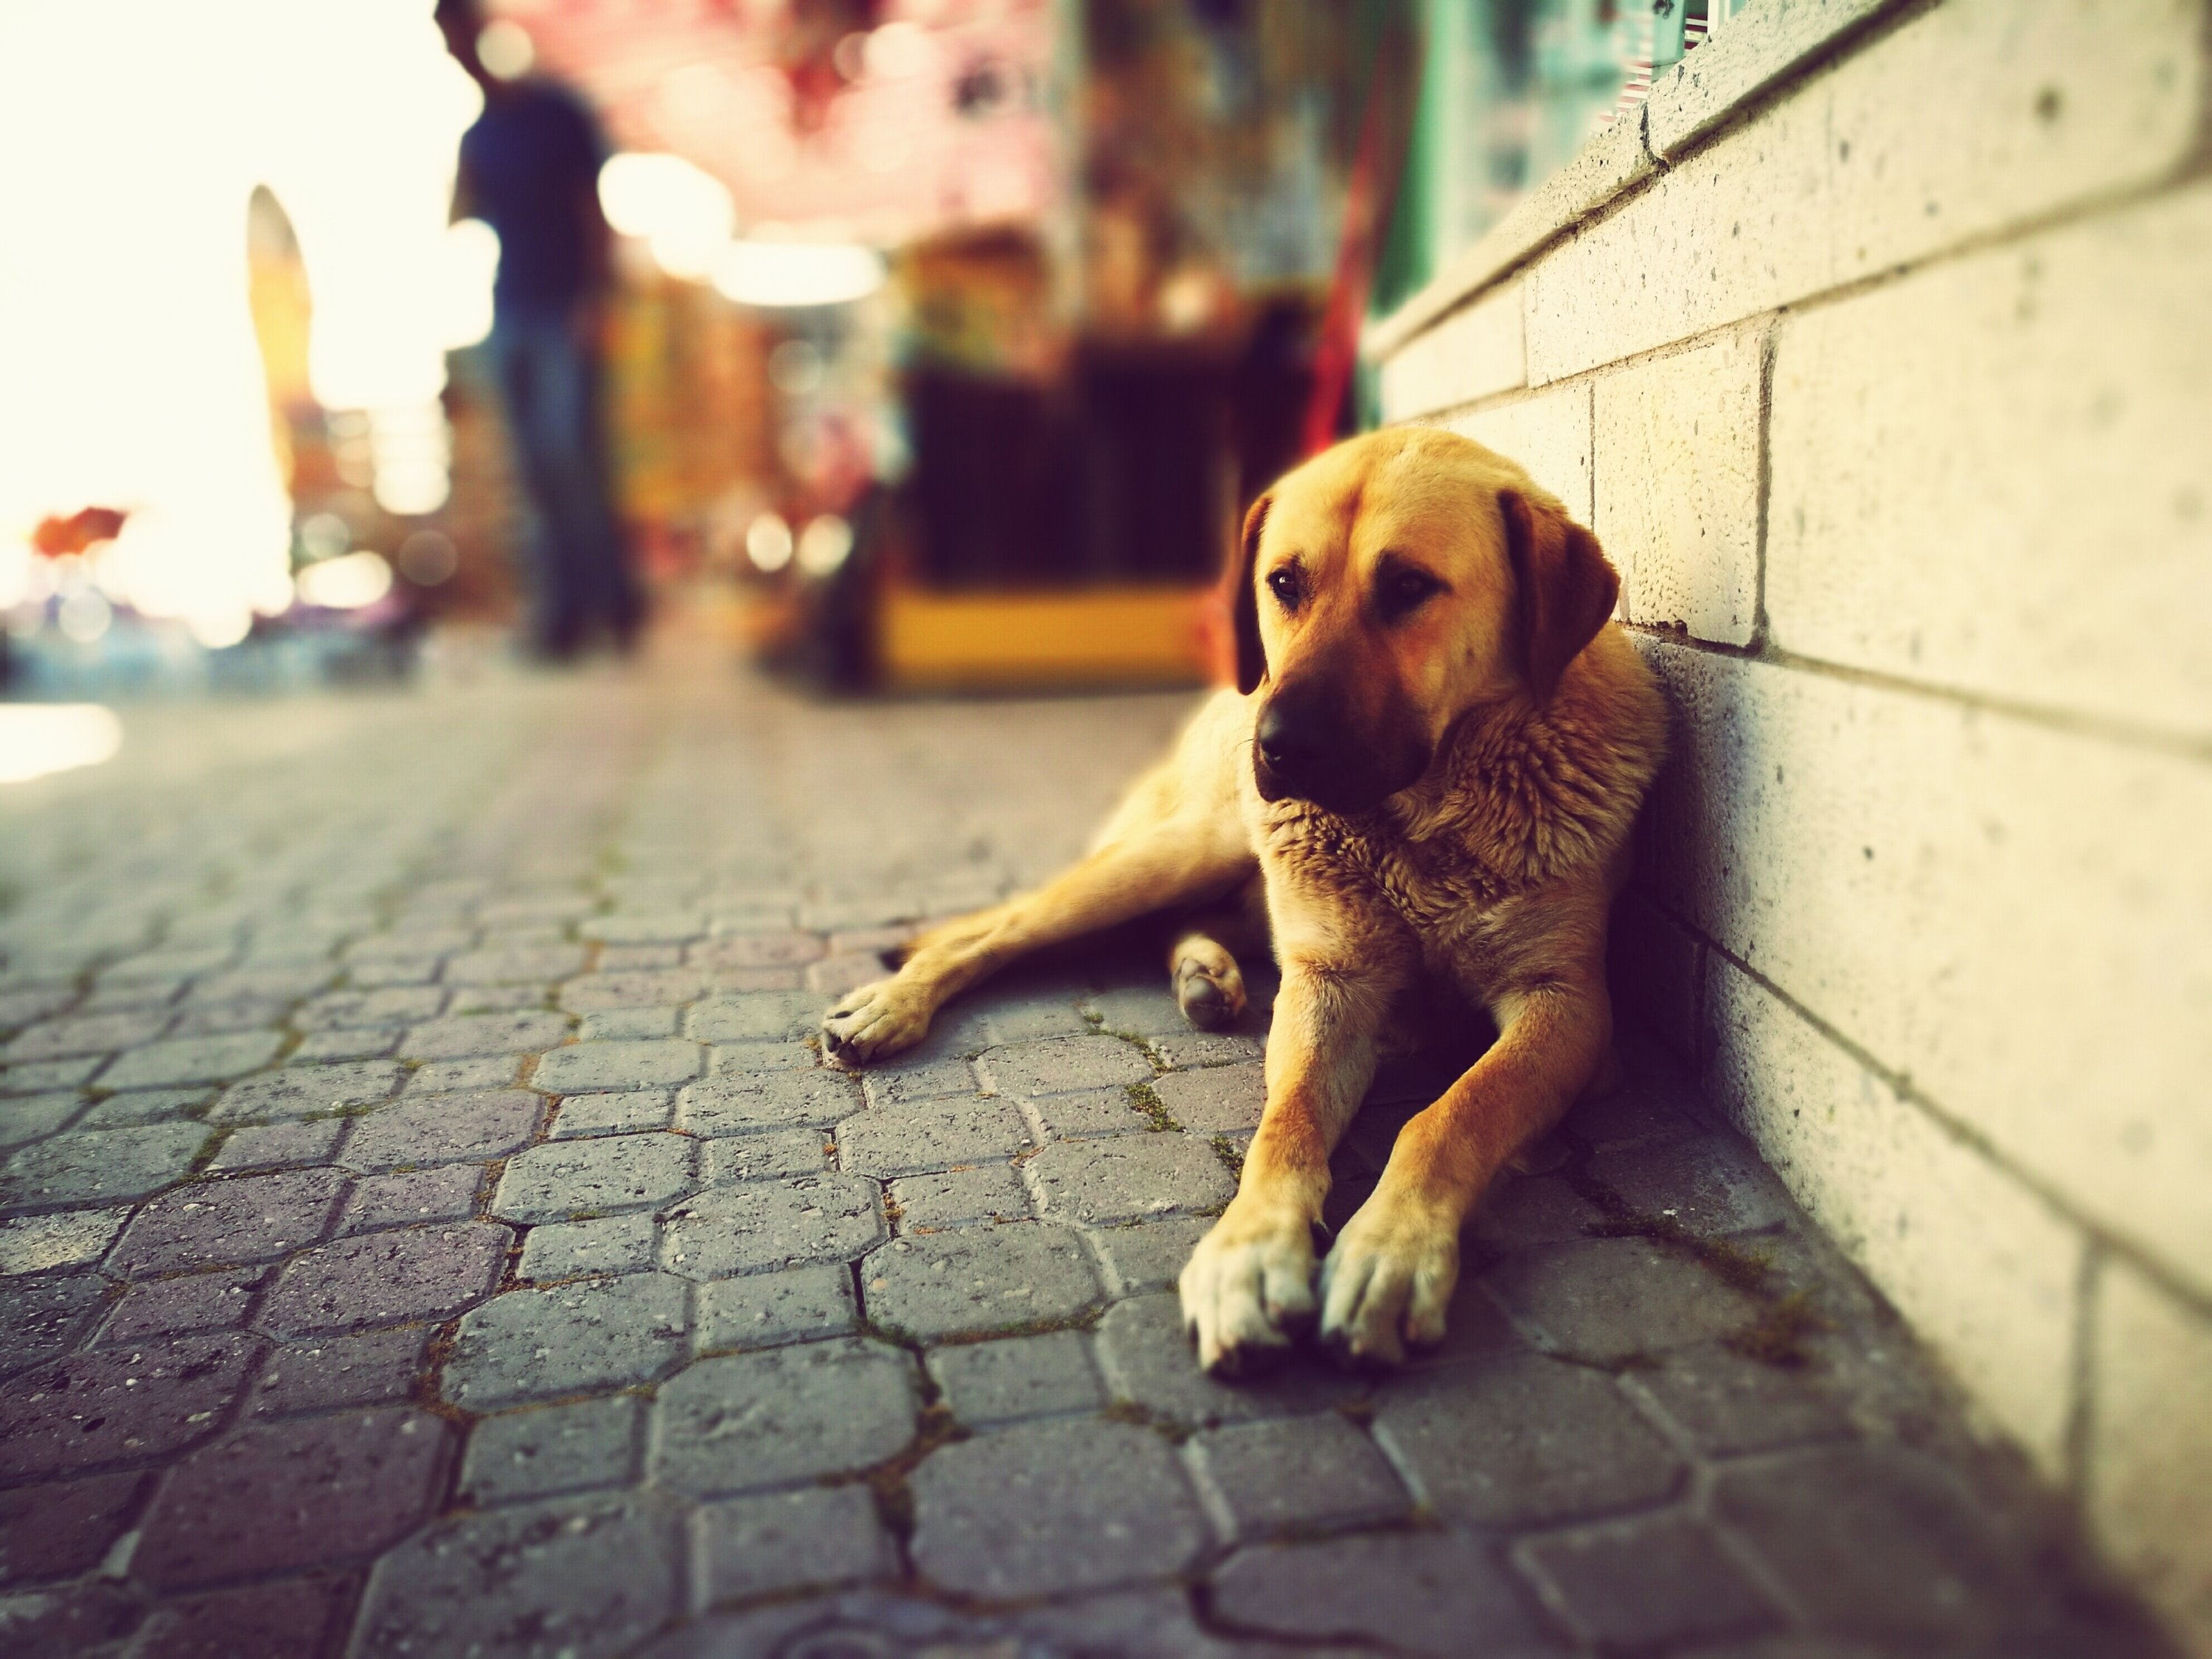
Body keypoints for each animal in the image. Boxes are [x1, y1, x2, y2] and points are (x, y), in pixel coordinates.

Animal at [827, 429, 1663, 1380]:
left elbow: (1450, 1116)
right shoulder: (1329, 985)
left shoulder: (1568, 1008)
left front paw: (1389, 1251)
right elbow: (1285, 1121)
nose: (1279, 744)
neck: (1422, 824)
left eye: (1409, 587)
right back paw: (892, 1004)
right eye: (1285, 583)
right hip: (1184, 849)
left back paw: (1204, 974)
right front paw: (1250, 1253)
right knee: (999, 932)